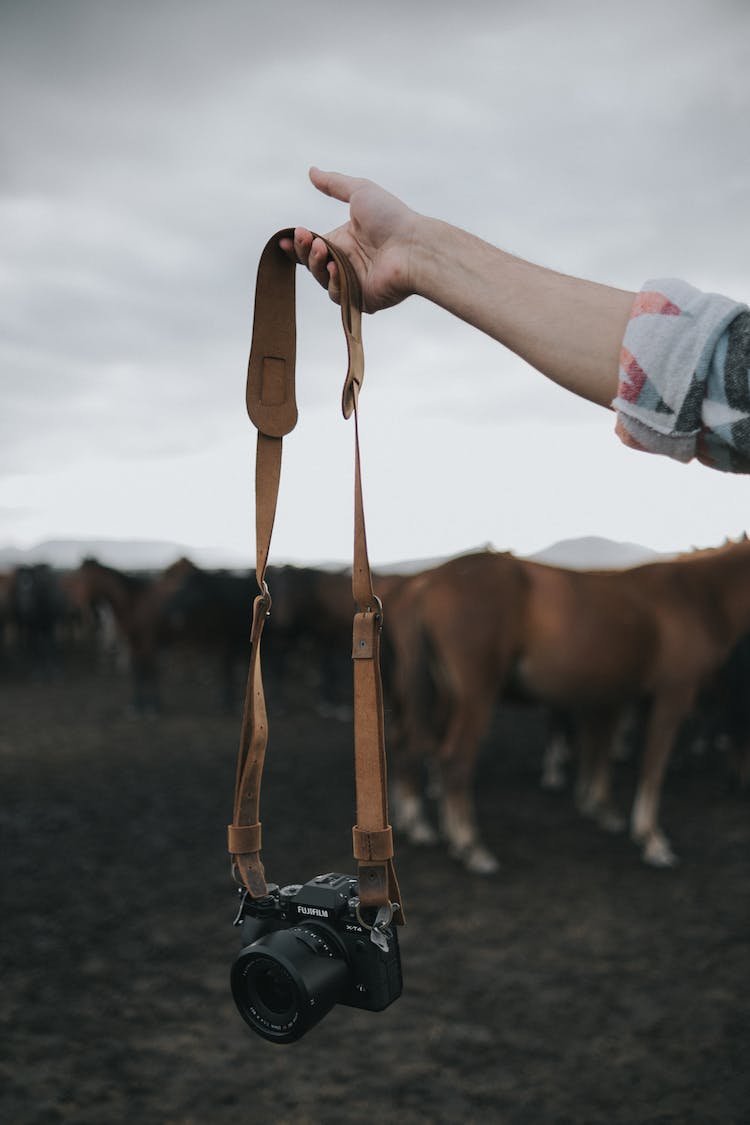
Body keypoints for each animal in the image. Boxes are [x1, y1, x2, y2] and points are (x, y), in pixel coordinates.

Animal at [384, 540, 750, 873]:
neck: (696, 595)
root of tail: (425, 582)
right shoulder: (671, 695)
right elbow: (651, 767)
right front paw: (650, 839)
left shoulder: (612, 696)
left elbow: (600, 749)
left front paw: (599, 807)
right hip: (474, 696)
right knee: (454, 759)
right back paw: (470, 845)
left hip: (442, 696)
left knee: (412, 746)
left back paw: (426, 825)